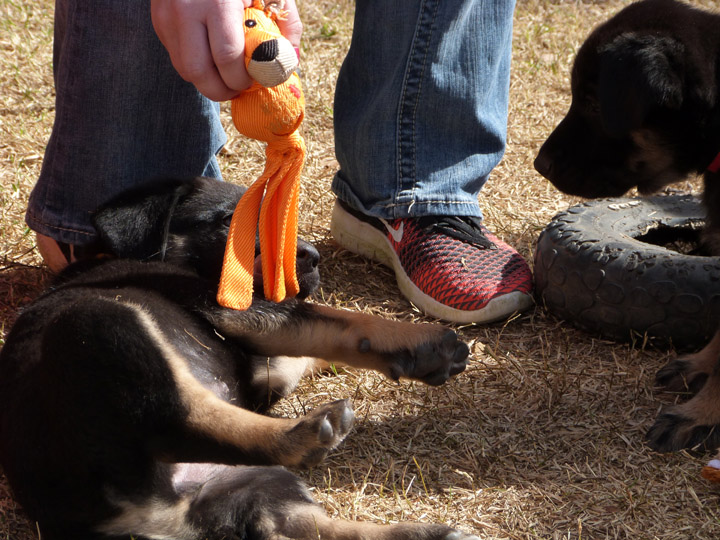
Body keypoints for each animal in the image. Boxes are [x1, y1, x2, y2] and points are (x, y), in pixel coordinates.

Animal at [0, 177, 476, 540]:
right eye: (234, 221)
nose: (312, 257)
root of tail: (150, 515)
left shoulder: (263, 361)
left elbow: (308, 346)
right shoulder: (235, 310)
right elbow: (333, 321)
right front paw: (428, 344)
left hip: (253, 486)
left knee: (300, 524)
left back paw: (425, 533)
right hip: (104, 324)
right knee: (182, 417)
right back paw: (307, 431)